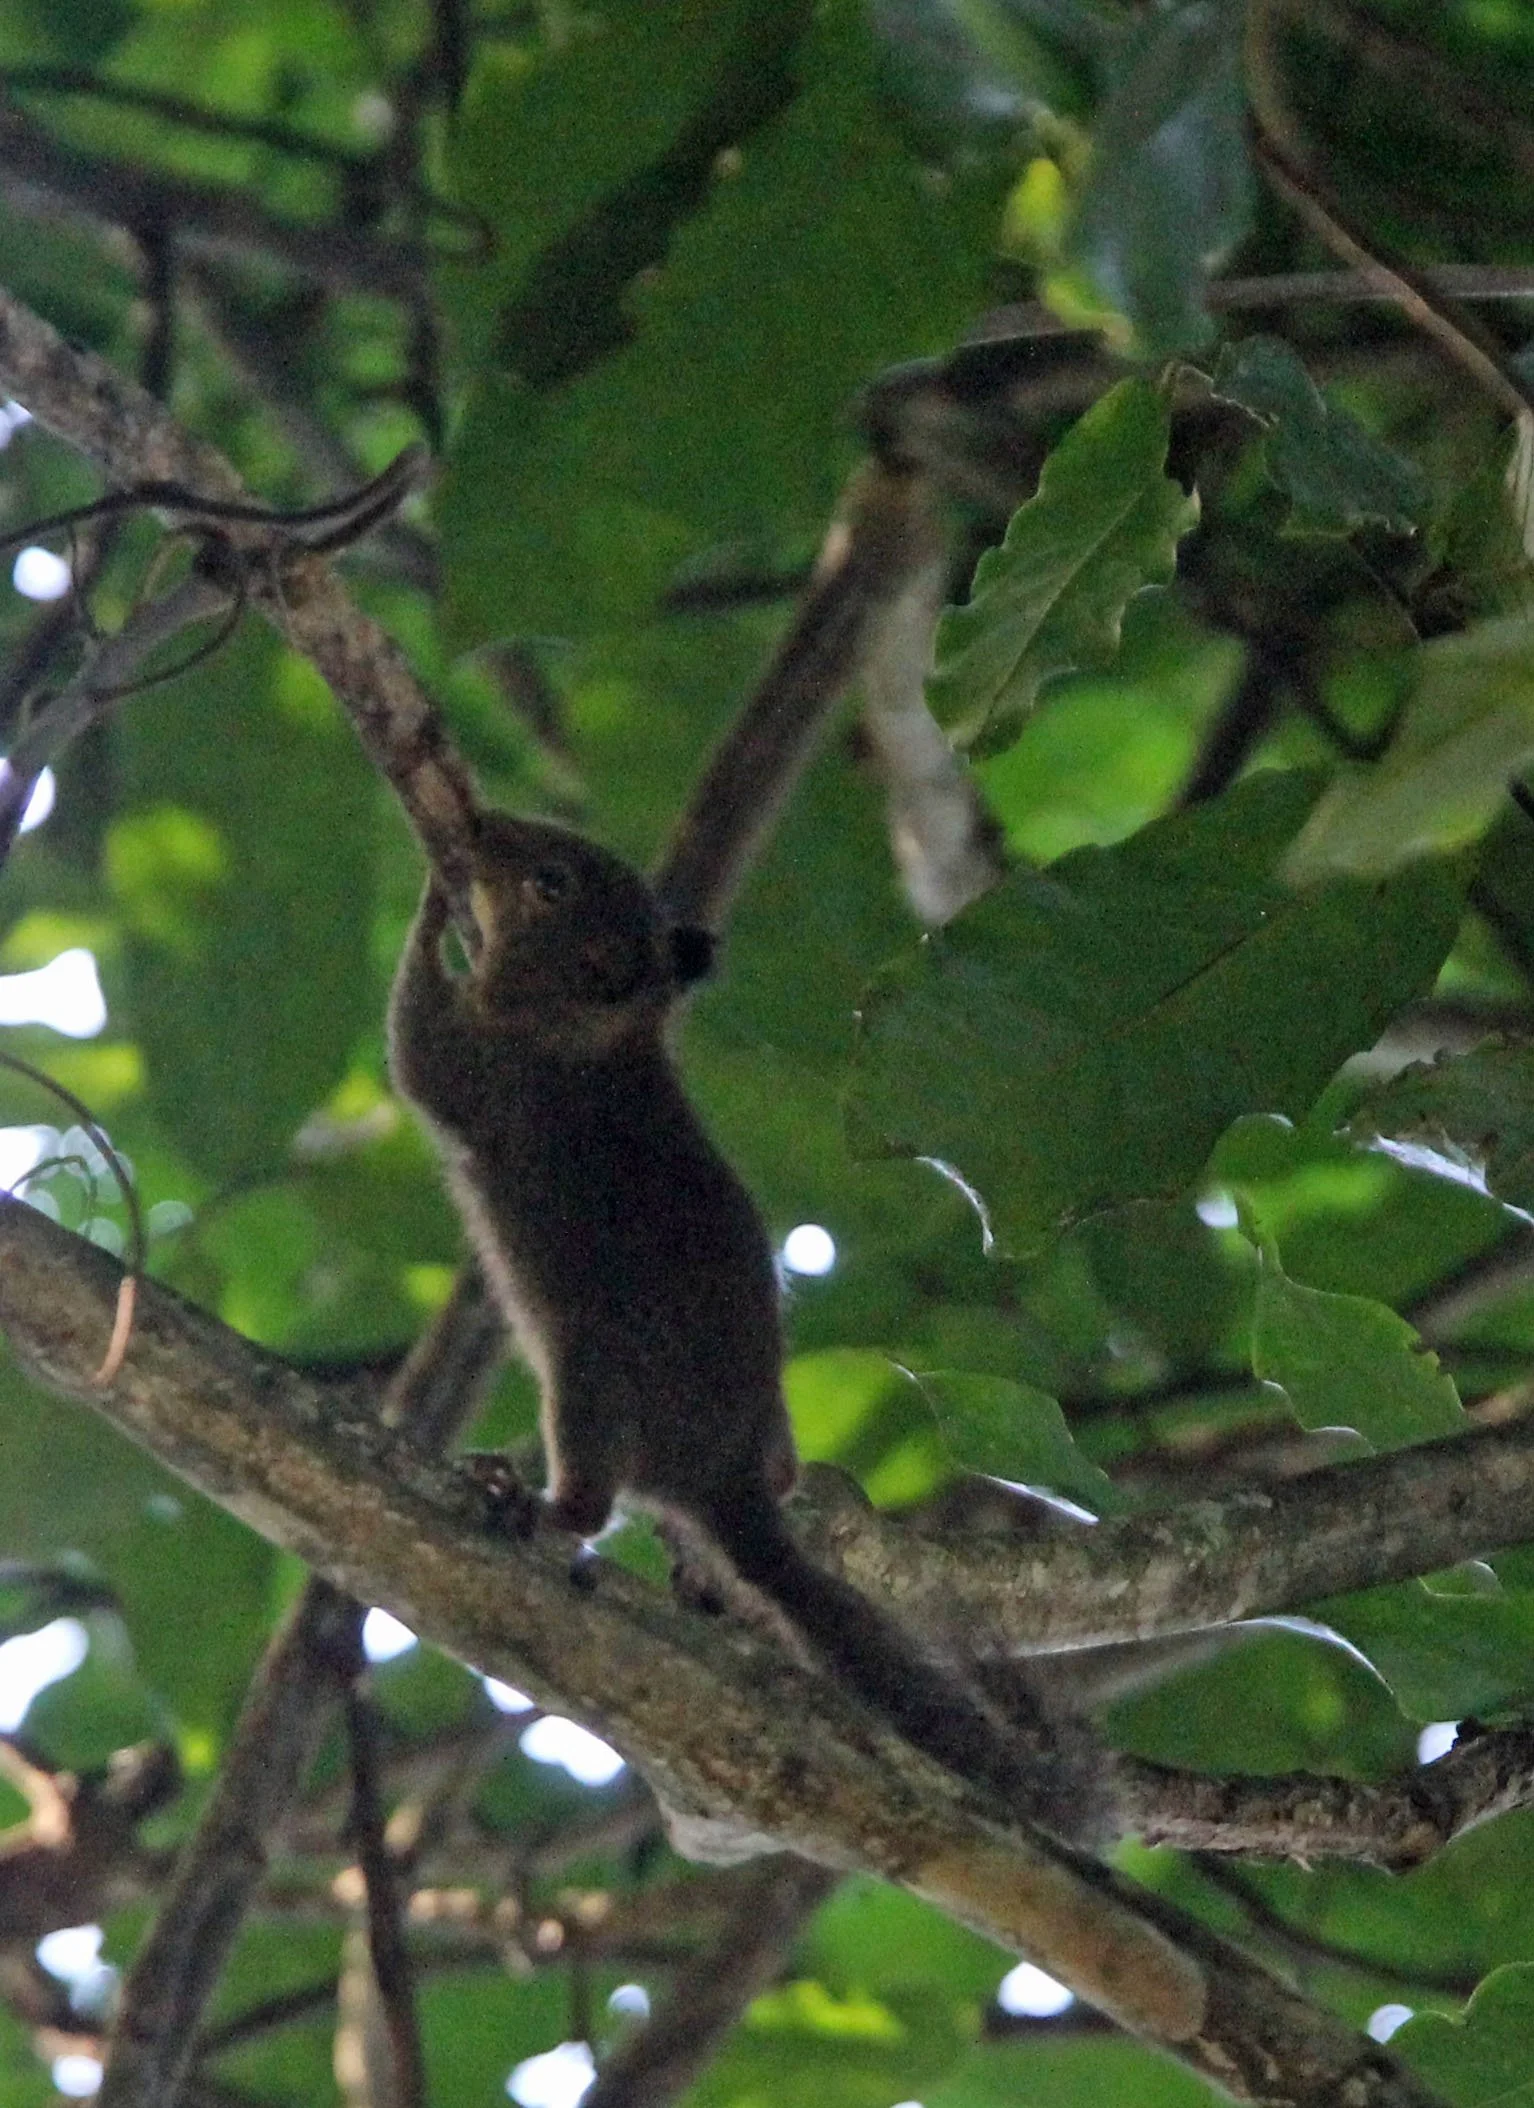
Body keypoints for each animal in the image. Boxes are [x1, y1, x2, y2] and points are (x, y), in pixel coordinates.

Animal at [389, 810, 1112, 1846]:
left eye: (548, 882)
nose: (479, 828)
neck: (599, 1032)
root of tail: (725, 1480)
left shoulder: (488, 1067)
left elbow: (414, 1045)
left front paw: (432, 909)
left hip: (591, 1382)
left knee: (592, 1504)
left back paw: (532, 1500)